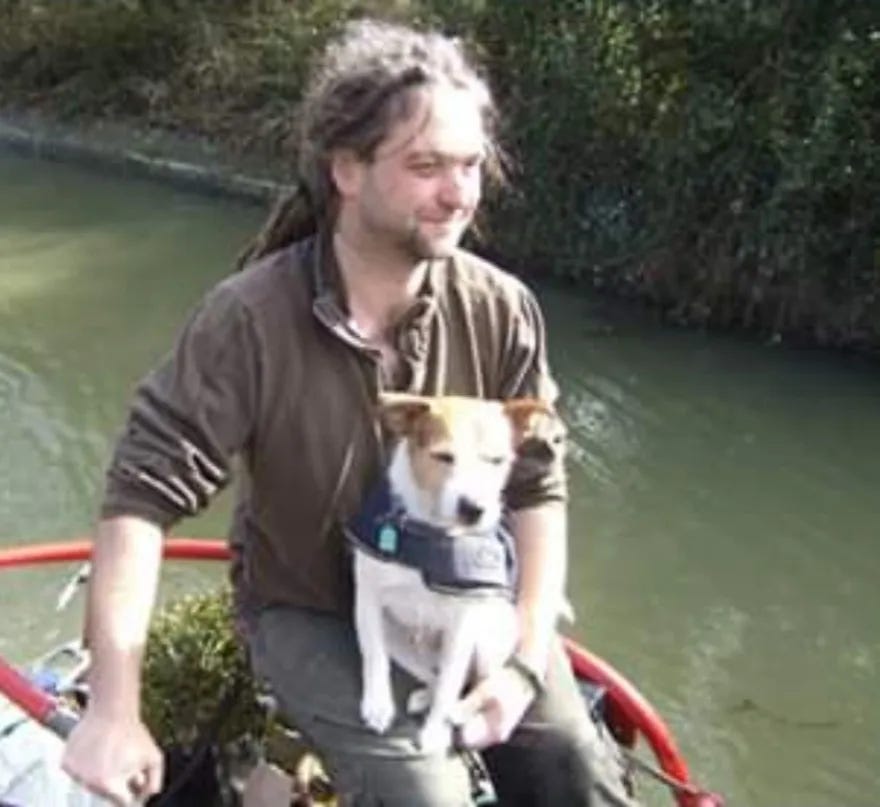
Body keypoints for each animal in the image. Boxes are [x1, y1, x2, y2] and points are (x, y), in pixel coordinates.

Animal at [348, 392, 552, 752]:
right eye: (443, 456)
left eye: (497, 461)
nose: (474, 508)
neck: (431, 532)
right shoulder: (368, 600)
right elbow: (374, 656)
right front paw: (378, 705)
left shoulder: (462, 627)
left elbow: (451, 683)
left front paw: (435, 732)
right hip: (400, 642)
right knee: (433, 674)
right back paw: (422, 697)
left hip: (485, 643)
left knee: (473, 681)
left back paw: (457, 710)